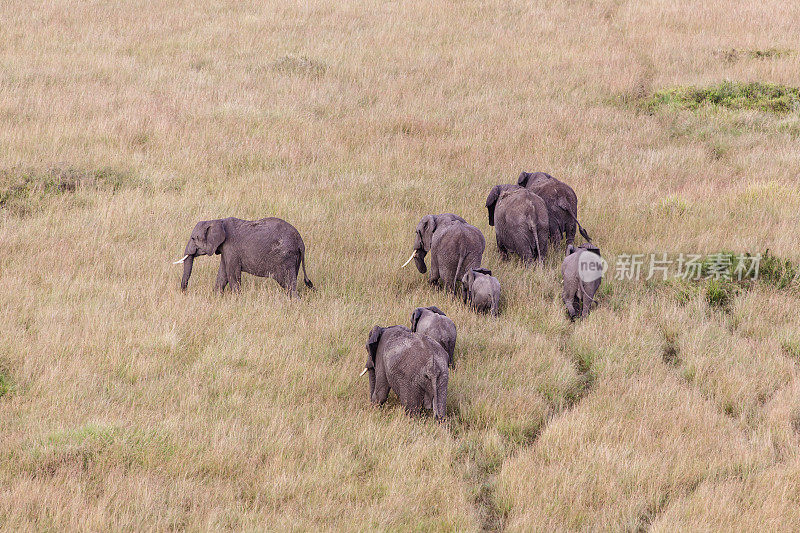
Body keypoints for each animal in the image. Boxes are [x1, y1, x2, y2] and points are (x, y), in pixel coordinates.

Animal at [173, 216, 314, 296]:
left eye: (193, 238)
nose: (185, 293)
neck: (219, 221)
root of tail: (300, 242)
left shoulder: (231, 248)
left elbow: (232, 275)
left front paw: (237, 300)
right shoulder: (225, 250)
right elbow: (223, 275)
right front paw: (216, 298)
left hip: (285, 257)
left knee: (289, 284)